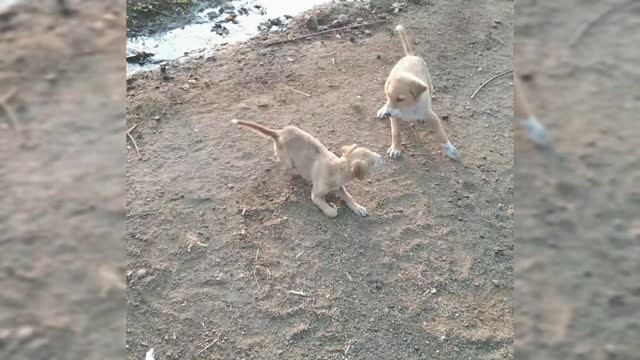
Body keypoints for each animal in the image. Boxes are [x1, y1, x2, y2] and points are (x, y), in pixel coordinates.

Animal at [230, 119, 382, 218]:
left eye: (370, 152)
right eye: (372, 162)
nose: (381, 156)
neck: (337, 168)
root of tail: (279, 133)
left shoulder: (339, 187)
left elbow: (349, 197)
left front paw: (358, 208)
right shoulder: (315, 196)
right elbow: (331, 212)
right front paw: (332, 206)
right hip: (287, 161)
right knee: (288, 169)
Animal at [376, 23, 460, 160]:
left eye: (400, 99)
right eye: (389, 96)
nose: (388, 114)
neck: (408, 107)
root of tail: (410, 56)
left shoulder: (433, 117)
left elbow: (441, 134)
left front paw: (450, 149)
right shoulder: (394, 117)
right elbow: (396, 133)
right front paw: (396, 148)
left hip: (430, 84)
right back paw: (383, 110)